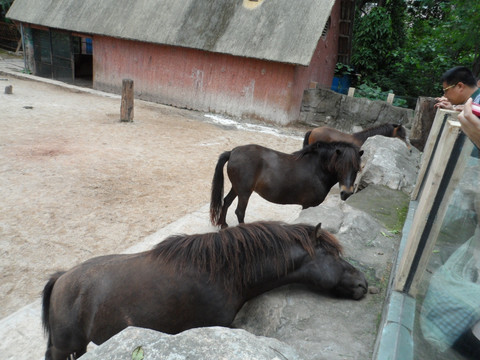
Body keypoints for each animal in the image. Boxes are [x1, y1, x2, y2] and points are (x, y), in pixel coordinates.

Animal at [208, 141, 362, 228]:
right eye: (340, 167)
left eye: (356, 169)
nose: (346, 193)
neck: (317, 169)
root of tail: (233, 152)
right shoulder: (308, 205)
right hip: (245, 192)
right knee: (239, 212)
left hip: (237, 188)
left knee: (226, 202)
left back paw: (223, 225)